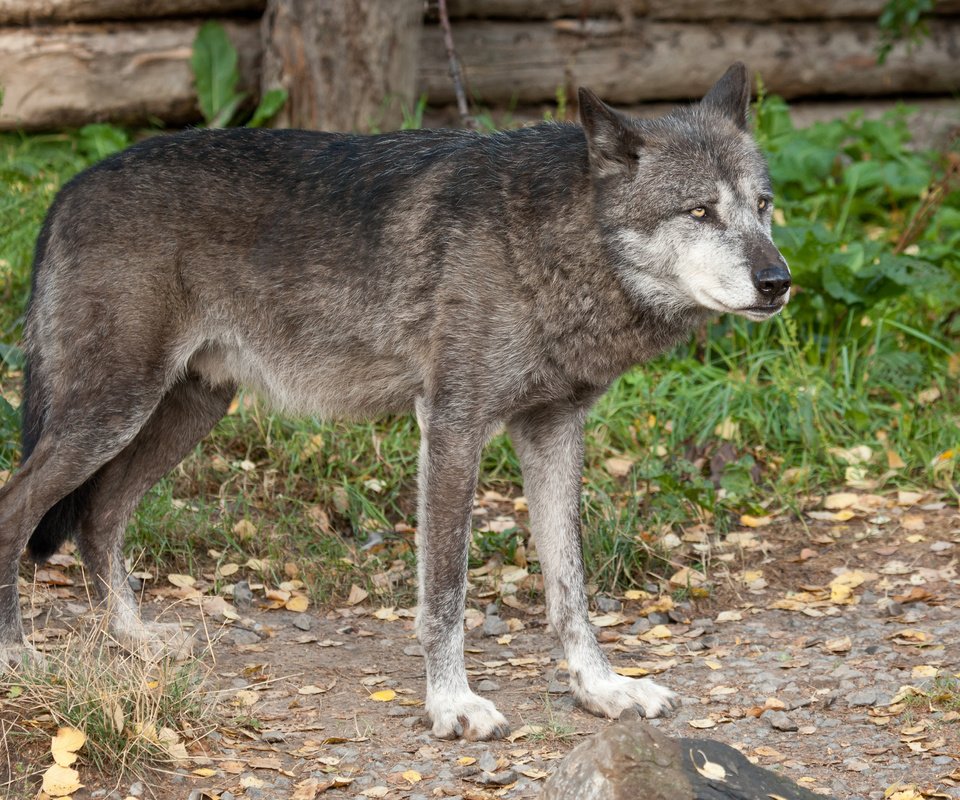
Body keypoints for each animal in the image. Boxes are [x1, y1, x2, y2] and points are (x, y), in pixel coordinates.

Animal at [1, 64, 788, 744]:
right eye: (699, 211)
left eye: (762, 206)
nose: (778, 280)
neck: (551, 244)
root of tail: (68, 189)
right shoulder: (452, 428)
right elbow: (445, 594)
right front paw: (453, 705)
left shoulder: (554, 431)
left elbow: (571, 588)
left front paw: (602, 689)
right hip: (111, 412)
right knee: (18, 507)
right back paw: (16, 656)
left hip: (186, 412)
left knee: (99, 513)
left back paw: (132, 636)